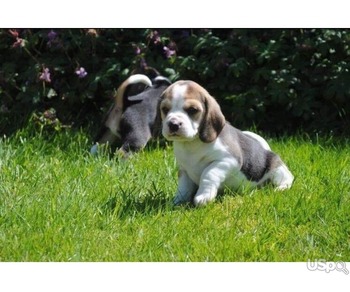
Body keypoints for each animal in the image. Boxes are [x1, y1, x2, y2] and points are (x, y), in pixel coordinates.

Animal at [159, 80, 296, 206]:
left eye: (192, 110)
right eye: (165, 109)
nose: (173, 124)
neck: (191, 144)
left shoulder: (228, 160)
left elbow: (208, 173)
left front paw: (204, 196)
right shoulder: (184, 170)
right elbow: (183, 187)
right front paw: (177, 202)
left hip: (277, 169)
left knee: (288, 179)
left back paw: (279, 189)